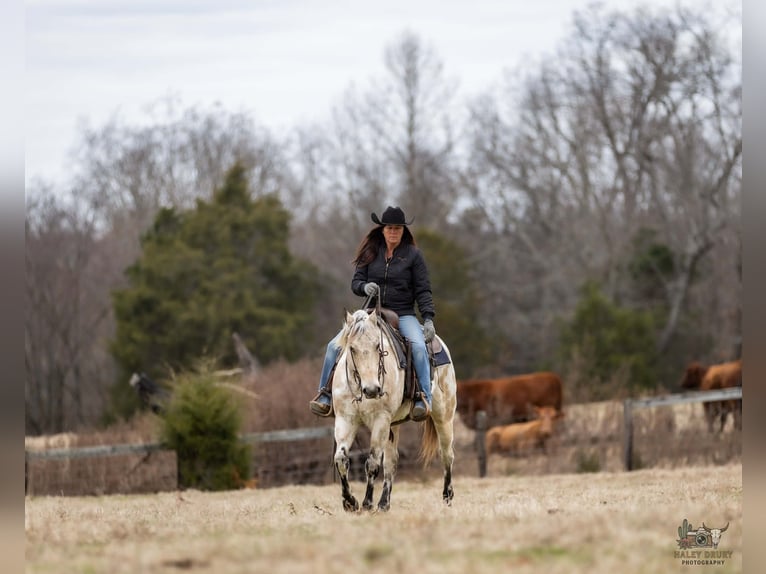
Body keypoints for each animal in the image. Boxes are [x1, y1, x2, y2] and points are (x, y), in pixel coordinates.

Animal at [331, 308, 457, 512]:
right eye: (352, 349)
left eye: (378, 346)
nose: (372, 390)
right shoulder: (345, 419)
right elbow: (341, 459)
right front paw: (350, 502)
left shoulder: (381, 420)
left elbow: (372, 462)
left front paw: (367, 503)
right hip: (394, 425)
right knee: (392, 461)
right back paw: (384, 503)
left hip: (444, 417)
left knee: (447, 455)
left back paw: (447, 497)